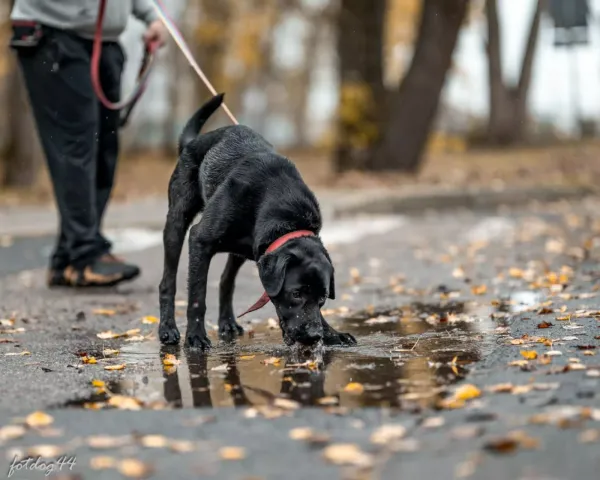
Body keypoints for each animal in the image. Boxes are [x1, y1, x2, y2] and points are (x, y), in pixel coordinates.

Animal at [158, 94, 356, 348]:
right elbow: (197, 296)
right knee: (168, 281)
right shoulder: (200, 240)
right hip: (177, 221)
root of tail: (195, 141)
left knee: (225, 281)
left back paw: (227, 322)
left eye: (322, 297)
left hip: (242, 251)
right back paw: (167, 328)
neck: (286, 215)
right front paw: (195, 335)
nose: (314, 336)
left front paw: (331, 332)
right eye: (296, 294)